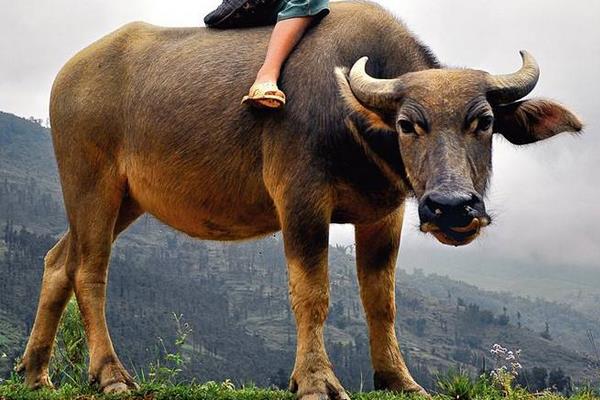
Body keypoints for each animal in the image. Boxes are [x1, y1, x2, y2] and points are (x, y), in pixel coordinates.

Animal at [18, 1, 580, 398]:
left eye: (482, 122)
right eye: (407, 124)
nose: (452, 208)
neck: (356, 122)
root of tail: (68, 75)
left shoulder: (385, 214)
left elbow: (382, 300)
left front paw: (399, 380)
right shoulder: (301, 201)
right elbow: (312, 293)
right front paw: (314, 381)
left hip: (127, 198)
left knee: (58, 261)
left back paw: (35, 374)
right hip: (90, 181)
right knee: (90, 270)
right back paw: (111, 375)